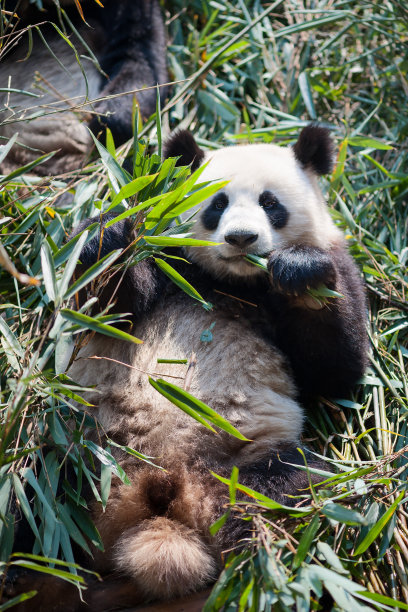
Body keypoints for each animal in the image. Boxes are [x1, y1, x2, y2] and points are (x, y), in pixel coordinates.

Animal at [3, 125, 366, 612]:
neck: (233, 281)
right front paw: (115, 226)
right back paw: (34, 577)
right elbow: (106, 303)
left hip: (244, 464)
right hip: (88, 452)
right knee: (38, 496)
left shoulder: (338, 266)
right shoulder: (168, 265)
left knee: (291, 492)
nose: (242, 239)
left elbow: (336, 370)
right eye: (217, 204)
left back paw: (257, 573)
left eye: (271, 203)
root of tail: (165, 490)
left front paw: (299, 273)